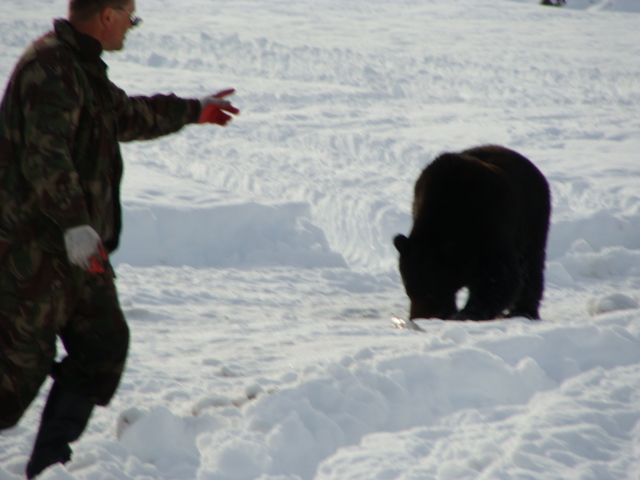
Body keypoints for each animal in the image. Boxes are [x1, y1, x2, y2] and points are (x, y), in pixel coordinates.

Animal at [396, 144, 552, 320]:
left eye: (431, 292)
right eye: (408, 290)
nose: (417, 317)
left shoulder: (489, 224)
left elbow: (500, 276)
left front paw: (466, 313)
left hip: (532, 219)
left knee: (531, 264)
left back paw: (524, 311)